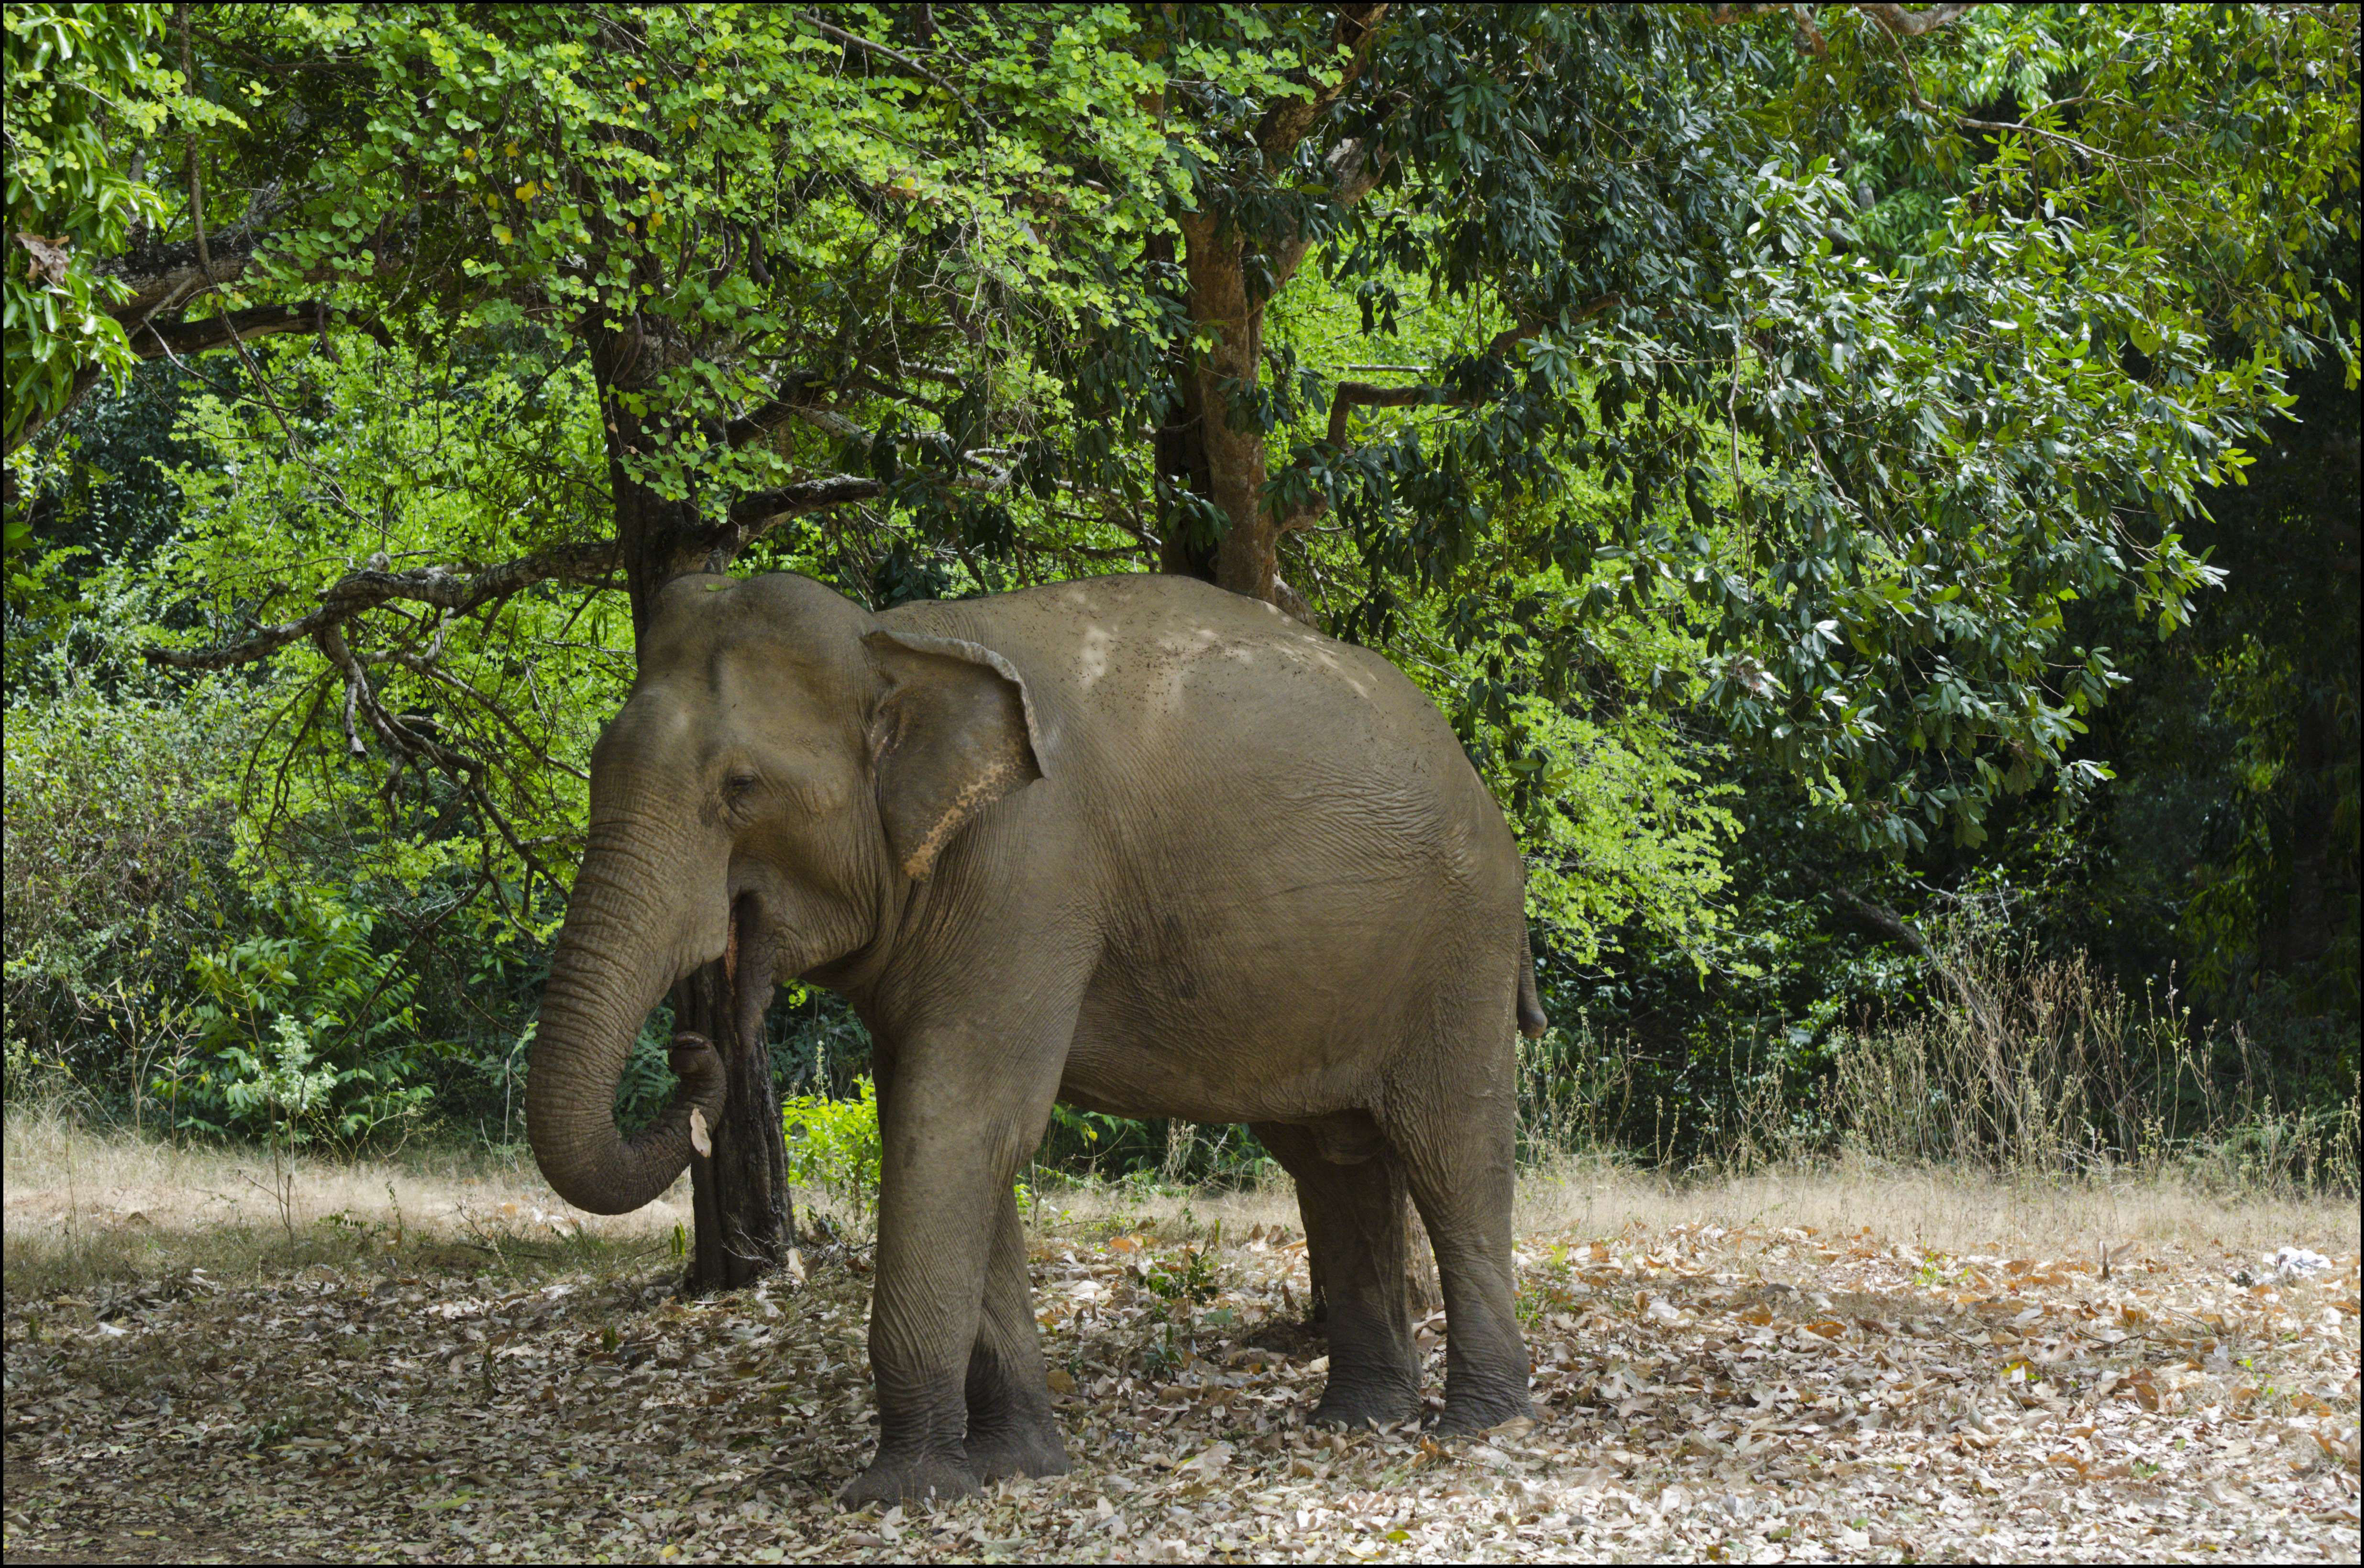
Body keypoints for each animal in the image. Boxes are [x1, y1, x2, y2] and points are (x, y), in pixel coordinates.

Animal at [526, 569, 1548, 1504]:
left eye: (739, 788)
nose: (694, 1051)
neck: (892, 642)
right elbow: (941, 1127)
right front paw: (1015, 1467)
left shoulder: (1025, 870)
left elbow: (956, 1122)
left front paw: (899, 1492)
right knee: (1334, 1156)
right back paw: (1359, 1417)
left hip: (1461, 942)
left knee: (1449, 1151)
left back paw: (1476, 1424)